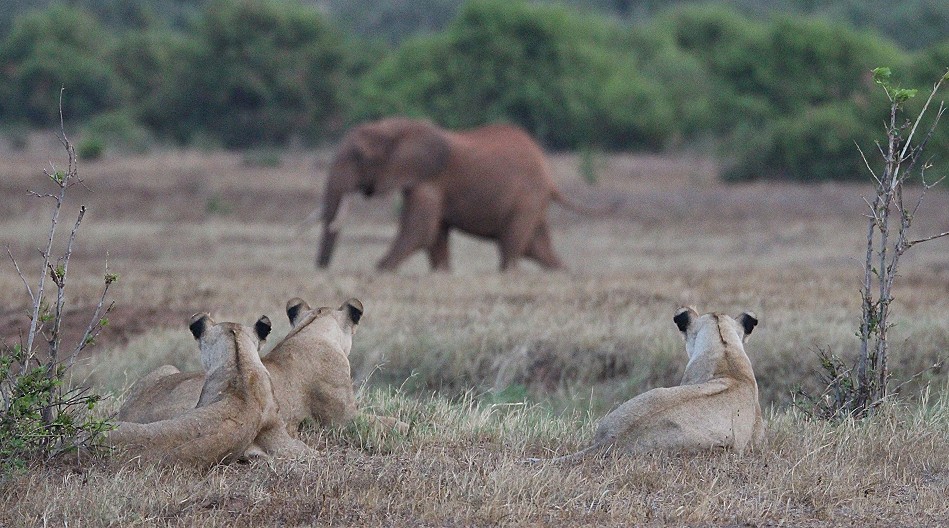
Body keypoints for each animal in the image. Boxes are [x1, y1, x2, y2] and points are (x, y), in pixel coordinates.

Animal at [116, 296, 406, 442]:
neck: (311, 331)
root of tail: (130, 414)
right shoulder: (343, 420)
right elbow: (388, 422)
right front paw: (405, 425)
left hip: (166, 368)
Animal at [318, 117, 584, 270]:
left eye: (359, 156)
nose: (322, 268)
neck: (396, 127)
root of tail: (549, 177)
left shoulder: (429, 180)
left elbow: (420, 231)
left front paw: (379, 270)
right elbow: (434, 234)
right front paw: (442, 273)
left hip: (527, 197)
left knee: (512, 243)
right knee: (536, 247)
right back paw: (562, 272)